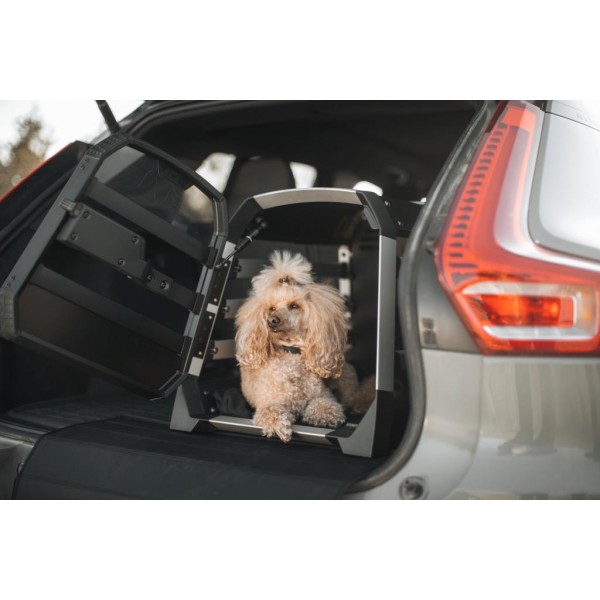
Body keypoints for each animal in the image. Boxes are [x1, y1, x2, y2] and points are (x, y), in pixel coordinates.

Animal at [235, 250, 374, 442]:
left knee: (354, 396)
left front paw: (325, 416)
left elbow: (324, 404)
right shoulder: (268, 401)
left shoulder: (323, 395)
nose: (272, 321)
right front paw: (280, 426)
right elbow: (270, 411)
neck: (292, 353)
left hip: (345, 379)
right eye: (271, 308)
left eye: (294, 305)